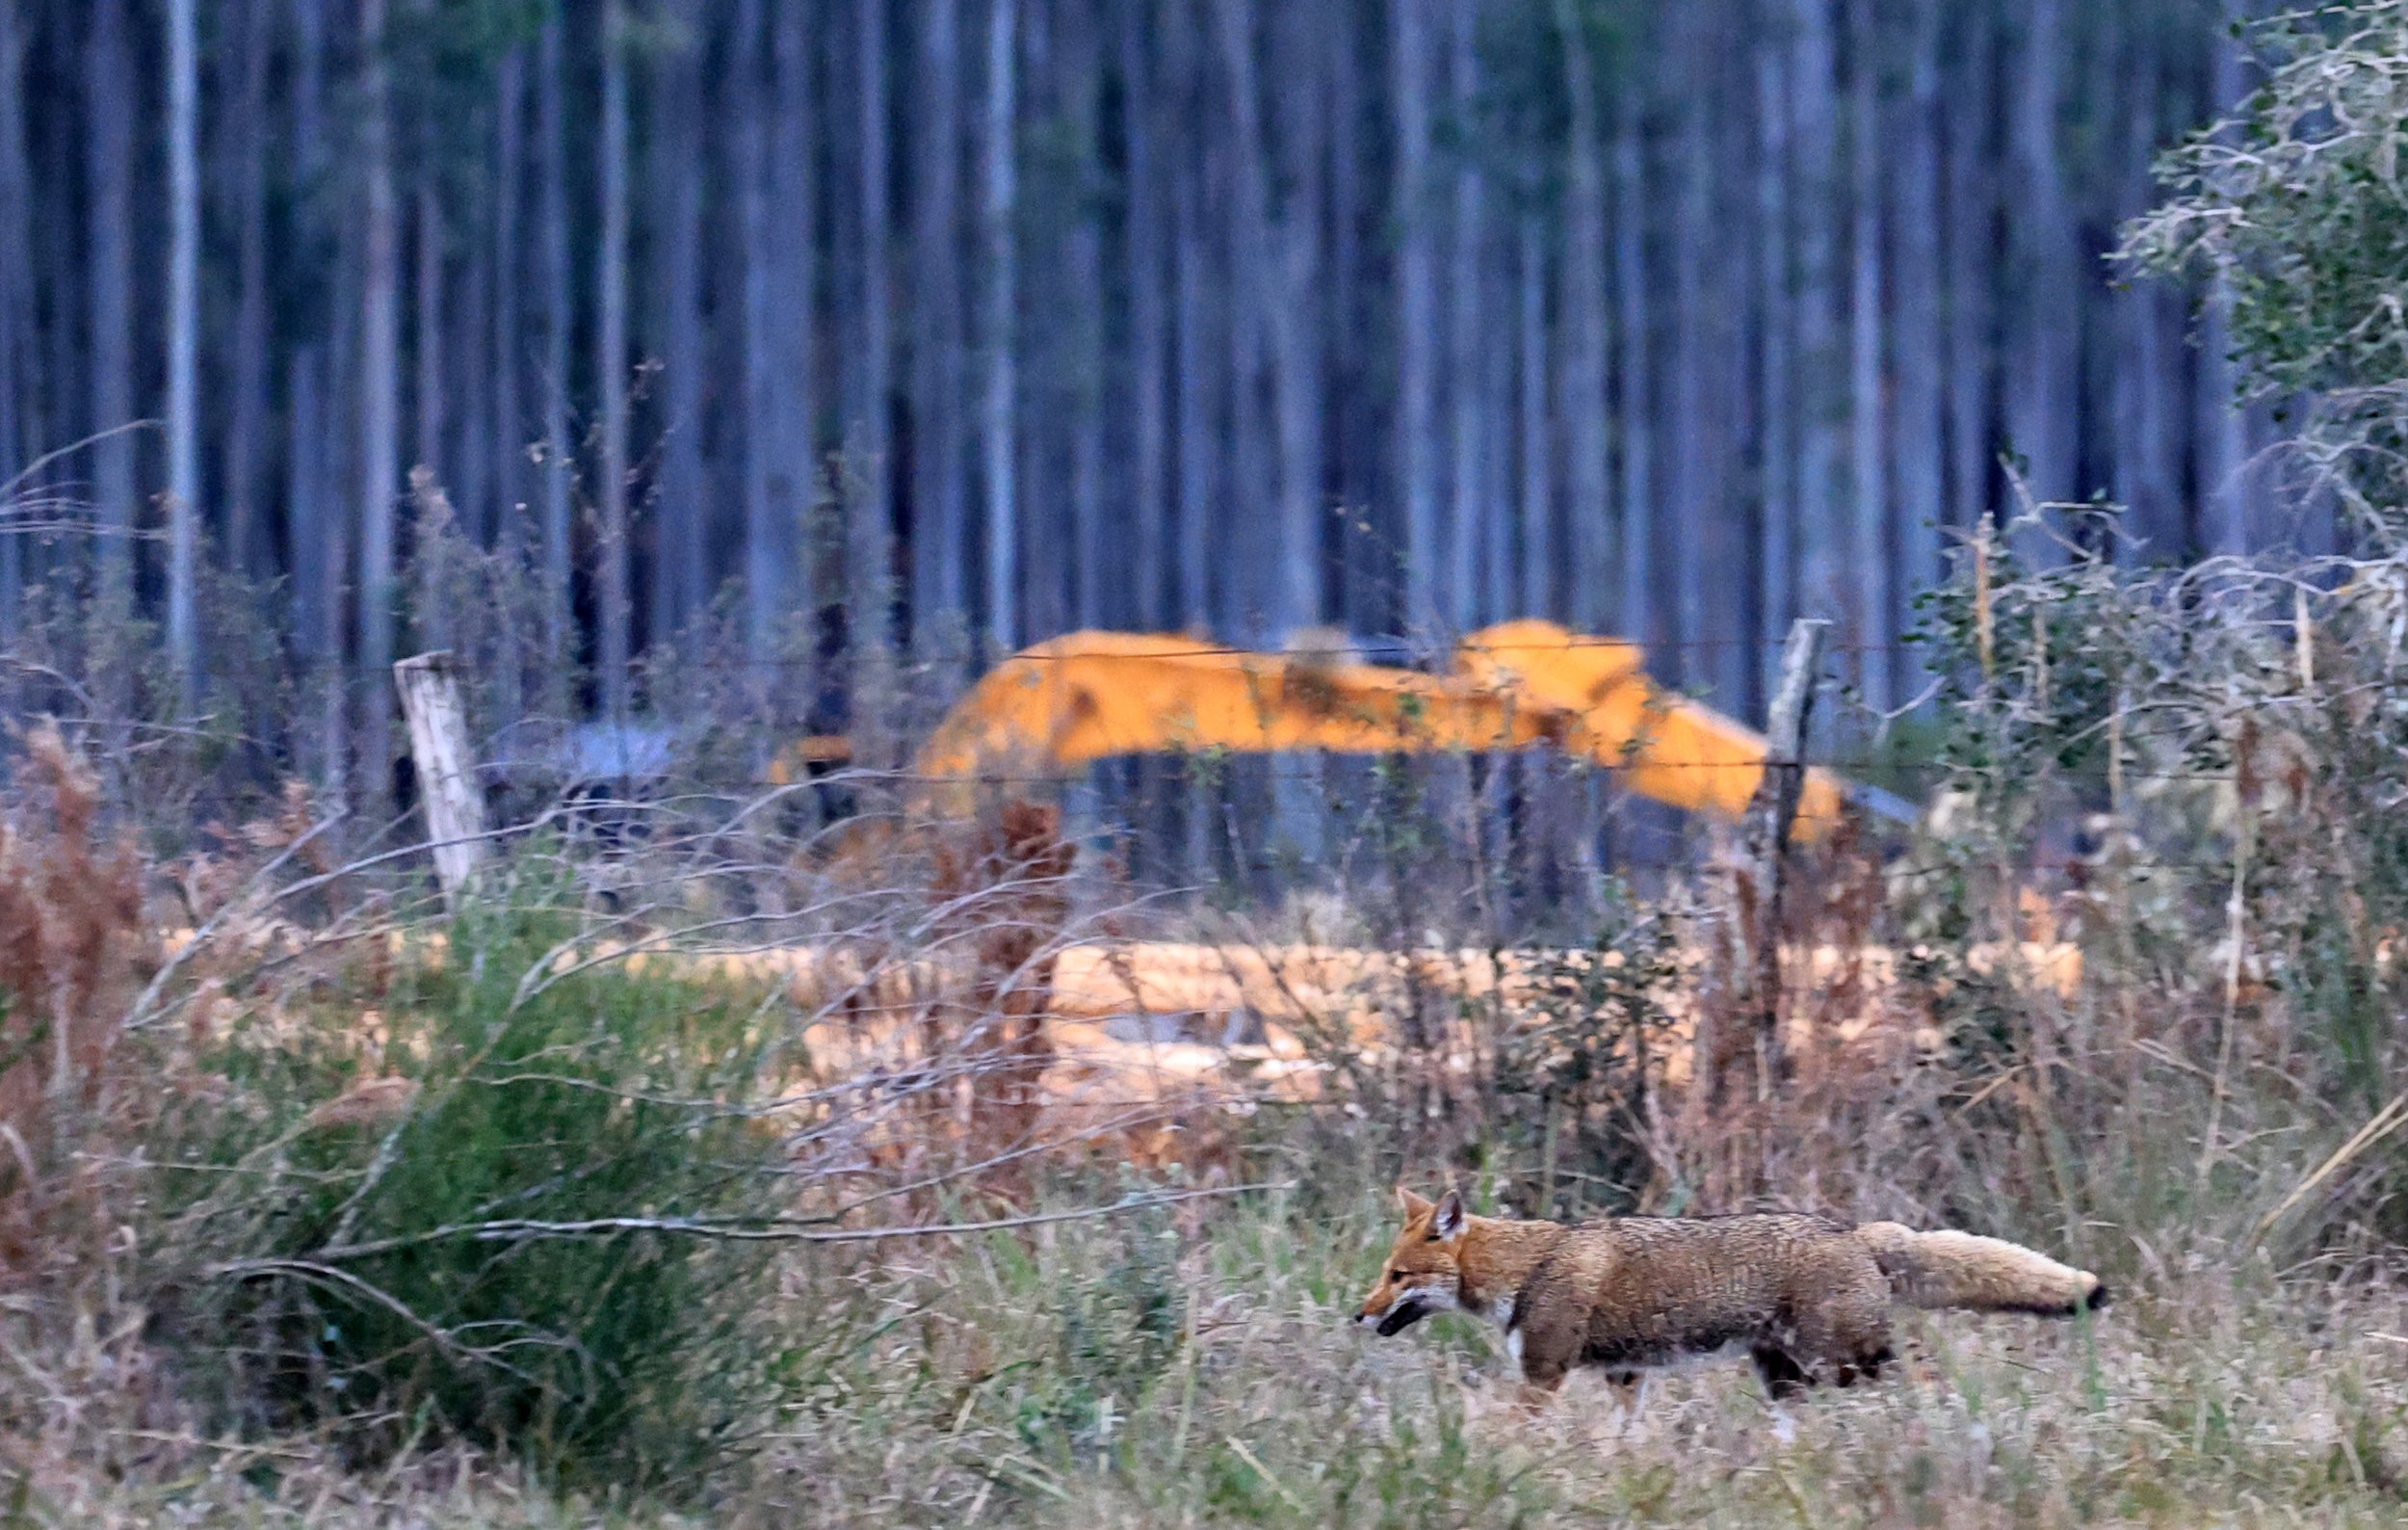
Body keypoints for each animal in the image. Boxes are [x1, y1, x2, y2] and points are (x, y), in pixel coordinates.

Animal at [1355, 1188, 2106, 1404]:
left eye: (1396, 1277)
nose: (1356, 1314)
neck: (1530, 1266)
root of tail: (1855, 1230)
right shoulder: (1627, 1377)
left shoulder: (1542, 1376)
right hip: (1789, 1380)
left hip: (1843, 1364)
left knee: (1919, 1385)